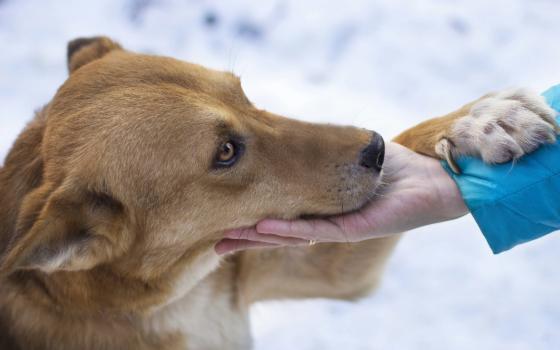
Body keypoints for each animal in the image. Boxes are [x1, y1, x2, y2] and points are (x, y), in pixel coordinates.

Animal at [0, 37, 556, 348]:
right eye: (225, 152)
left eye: (244, 94)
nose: (374, 149)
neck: (172, 299)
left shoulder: (321, 269)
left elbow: (413, 133)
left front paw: (476, 122)